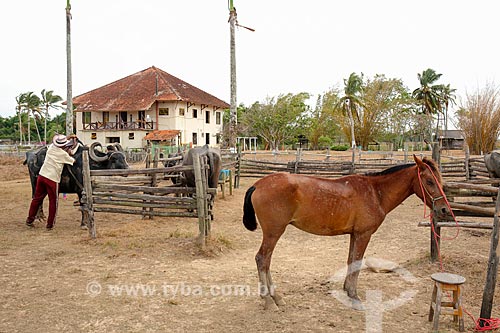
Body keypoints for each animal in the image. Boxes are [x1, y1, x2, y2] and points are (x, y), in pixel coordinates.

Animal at [242, 154, 450, 310]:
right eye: (429, 181)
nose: (444, 210)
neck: (375, 192)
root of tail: (258, 184)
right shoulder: (363, 234)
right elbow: (357, 261)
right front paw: (354, 296)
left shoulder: (354, 235)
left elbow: (351, 261)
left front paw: (347, 290)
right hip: (273, 233)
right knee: (262, 259)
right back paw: (268, 300)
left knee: (267, 261)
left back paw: (277, 298)